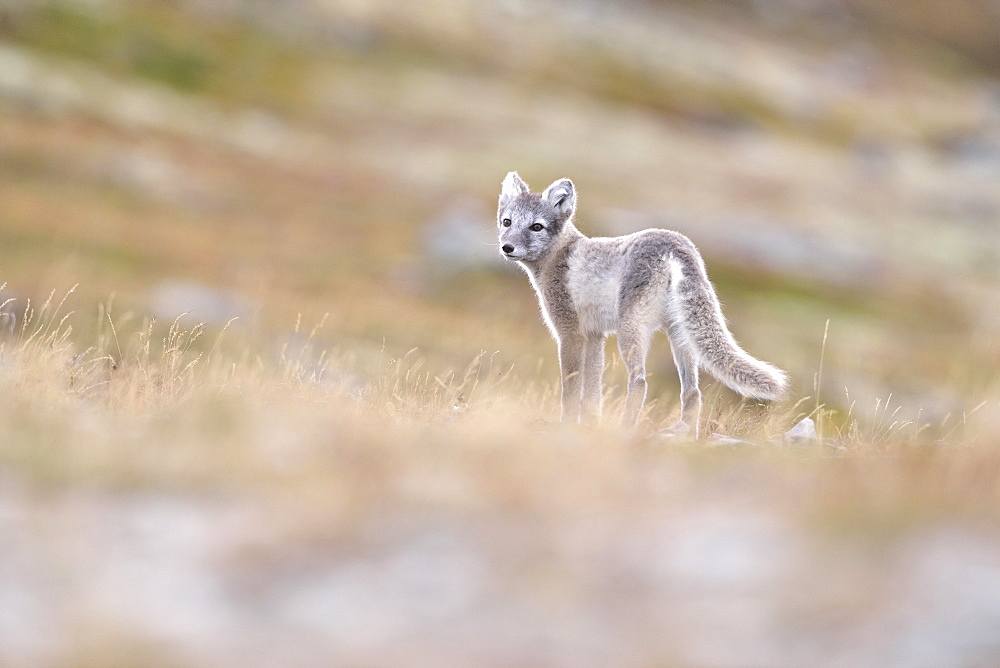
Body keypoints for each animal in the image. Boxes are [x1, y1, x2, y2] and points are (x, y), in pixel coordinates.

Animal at [496, 170, 784, 436]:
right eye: (507, 222)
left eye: (537, 227)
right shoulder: (594, 335)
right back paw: (685, 436)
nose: (507, 248)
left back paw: (626, 429)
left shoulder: (570, 333)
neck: (560, 253)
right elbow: (592, 392)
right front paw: (590, 426)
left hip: (631, 330)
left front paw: (566, 425)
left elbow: (571, 387)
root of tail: (675, 245)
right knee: (692, 392)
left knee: (640, 380)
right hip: (680, 335)